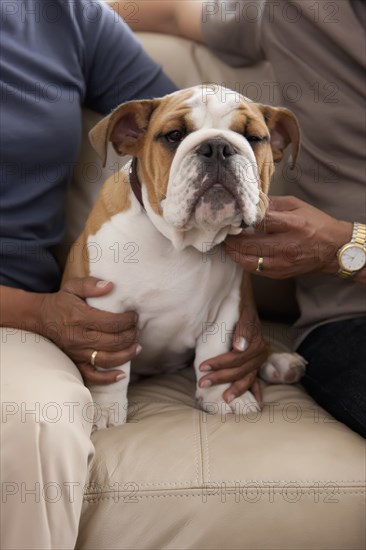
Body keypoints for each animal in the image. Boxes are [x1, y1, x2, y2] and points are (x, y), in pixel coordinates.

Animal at [62, 85, 306, 432]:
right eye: (174, 135)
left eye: (254, 137)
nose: (217, 146)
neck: (182, 242)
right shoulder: (106, 308)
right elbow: (111, 368)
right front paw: (104, 409)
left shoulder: (226, 307)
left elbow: (212, 357)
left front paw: (221, 397)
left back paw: (279, 361)